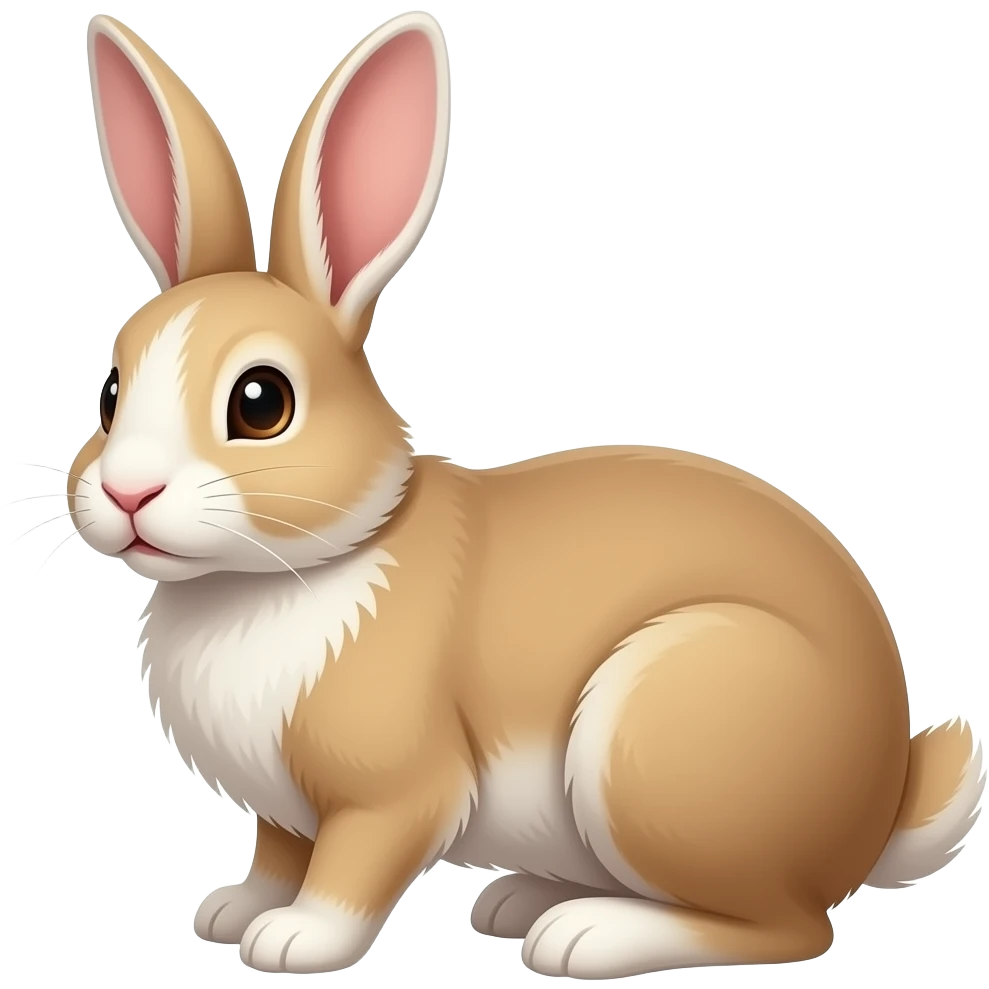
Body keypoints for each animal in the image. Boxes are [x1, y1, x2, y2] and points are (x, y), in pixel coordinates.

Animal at [71, 11, 985, 980]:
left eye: (260, 402)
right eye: (109, 392)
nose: (127, 491)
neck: (286, 569)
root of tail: (876, 806)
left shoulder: (393, 790)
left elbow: (351, 867)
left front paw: (293, 939)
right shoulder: (283, 808)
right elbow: (278, 852)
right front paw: (233, 910)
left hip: (655, 738)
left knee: (786, 927)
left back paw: (585, 933)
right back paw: (520, 899)